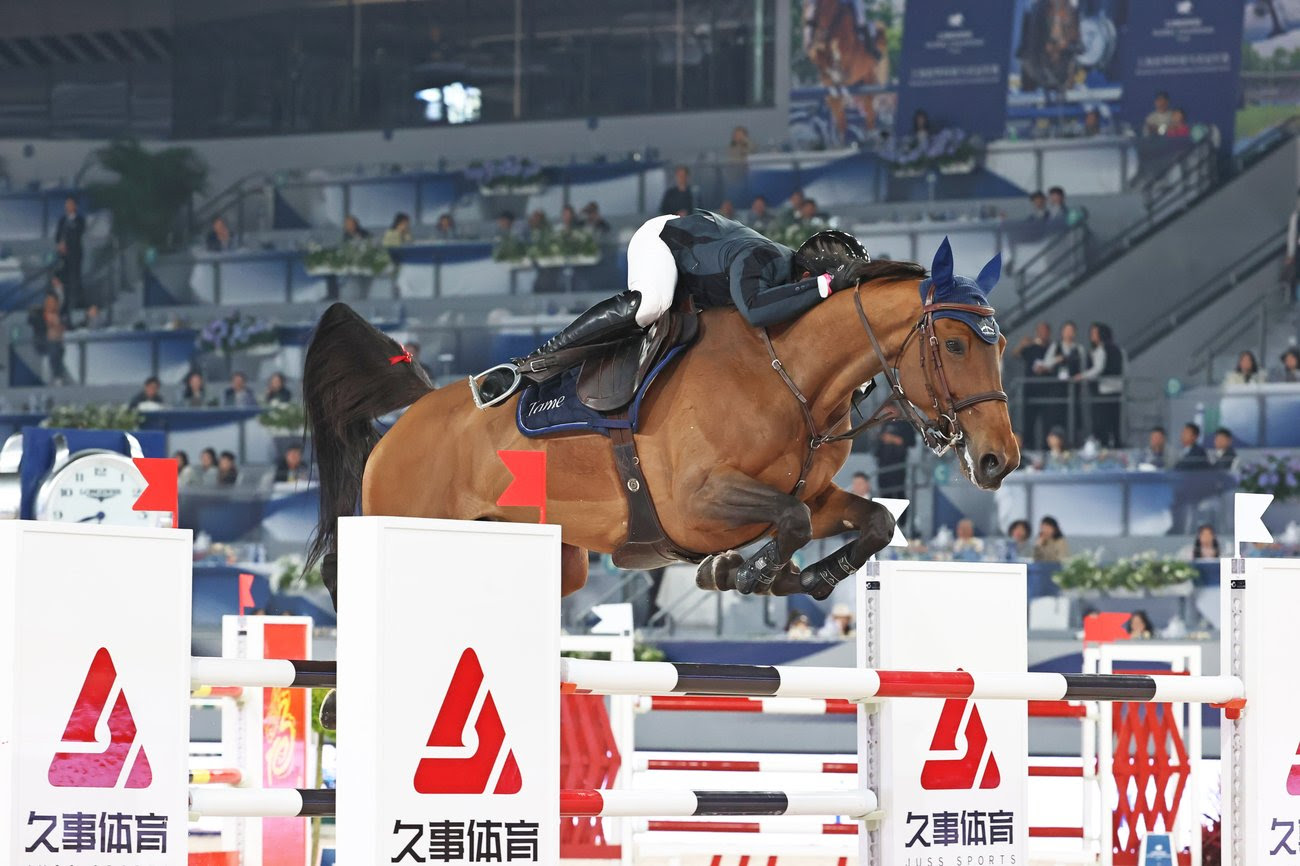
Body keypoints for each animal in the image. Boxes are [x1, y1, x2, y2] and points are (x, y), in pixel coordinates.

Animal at [301, 253, 1013, 605]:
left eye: (1000, 343)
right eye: (954, 344)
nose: (998, 460)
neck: (788, 374)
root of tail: (413, 417)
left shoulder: (814, 492)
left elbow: (874, 521)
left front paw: (802, 579)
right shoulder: (697, 502)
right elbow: (789, 522)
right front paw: (743, 575)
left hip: (545, 557)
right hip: (401, 513)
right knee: (345, 568)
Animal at [806, 0, 889, 143]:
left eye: (818, 5)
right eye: (805, 4)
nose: (808, 37)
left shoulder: (848, 50)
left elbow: (838, 51)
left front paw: (836, 67)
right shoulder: (818, 47)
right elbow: (819, 53)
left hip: (869, 73)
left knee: (869, 104)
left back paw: (871, 135)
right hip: (837, 91)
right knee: (840, 111)